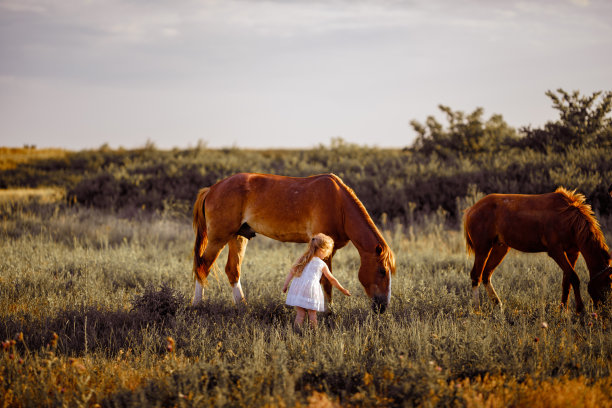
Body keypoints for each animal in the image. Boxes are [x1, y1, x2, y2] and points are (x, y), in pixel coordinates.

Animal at [189, 172, 396, 312]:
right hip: (219, 238)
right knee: (203, 266)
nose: (383, 307)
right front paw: (328, 312)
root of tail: (212, 189)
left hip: (238, 237)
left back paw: (242, 306)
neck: (339, 204)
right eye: (381, 270)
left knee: (232, 270)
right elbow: (326, 282)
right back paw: (197, 304)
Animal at [466, 188, 608, 312]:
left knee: (486, 274)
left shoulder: (573, 252)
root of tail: (471, 209)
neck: (568, 218)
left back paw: (497, 304)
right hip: (483, 248)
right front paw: (580, 310)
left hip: (500, 248)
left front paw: (563, 309)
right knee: (476, 276)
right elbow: (574, 277)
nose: (605, 310)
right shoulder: (556, 252)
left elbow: (567, 280)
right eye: (606, 285)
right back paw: (477, 310)